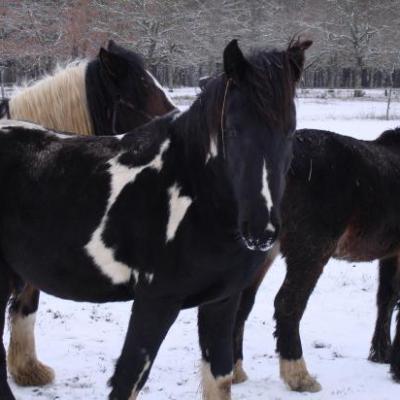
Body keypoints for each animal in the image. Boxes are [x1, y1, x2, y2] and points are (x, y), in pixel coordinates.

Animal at [0, 38, 310, 400]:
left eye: (290, 130)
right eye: (233, 129)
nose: (261, 230)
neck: (195, 188)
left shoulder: (221, 302)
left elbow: (219, 377)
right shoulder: (155, 303)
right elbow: (128, 379)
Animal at [231, 127, 400, 390]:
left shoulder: (391, 253)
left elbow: (387, 298)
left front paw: (381, 354)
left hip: (260, 252)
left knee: (241, 305)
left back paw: (234, 372)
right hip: (310, 252)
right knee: (287, 304)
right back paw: (299, 375)